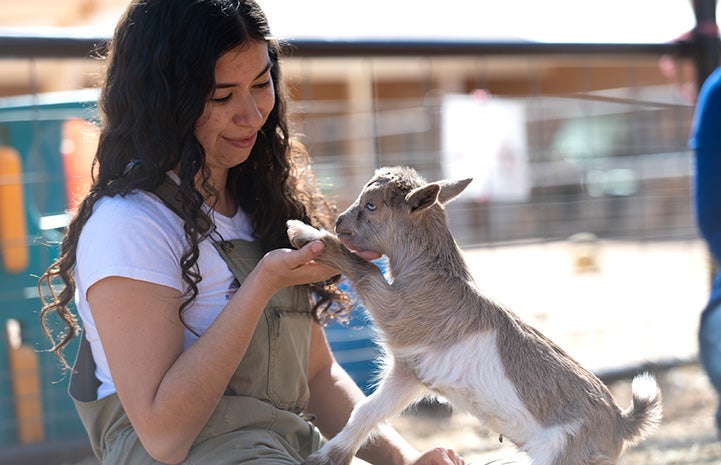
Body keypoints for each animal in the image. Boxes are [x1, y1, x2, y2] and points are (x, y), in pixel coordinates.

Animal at [286, 165, 664, 462]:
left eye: (371, 205)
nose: (338, 222)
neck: (435, 274)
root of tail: (621, 423)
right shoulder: (409, 372)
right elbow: (366, 411)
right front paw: (326, 457)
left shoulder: (397, 310)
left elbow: (364, 269)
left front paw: (304, 232)